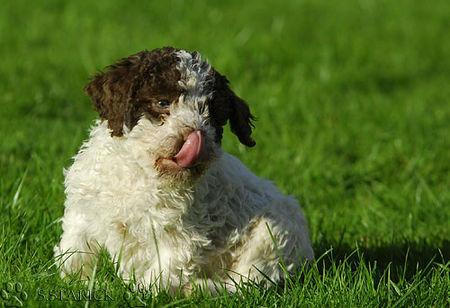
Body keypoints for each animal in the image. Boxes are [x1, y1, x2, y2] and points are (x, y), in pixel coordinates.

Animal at [54, 47, 314, 294]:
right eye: (162, 103)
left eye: (211, 113)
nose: (196, 135)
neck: (141, 172)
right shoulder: (83, 211)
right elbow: (74, 252)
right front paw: (77, 284)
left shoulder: (180, 238)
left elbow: (158, 278)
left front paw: (135, 292)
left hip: (274, 236)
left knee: (248, 282)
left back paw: (197, 289)